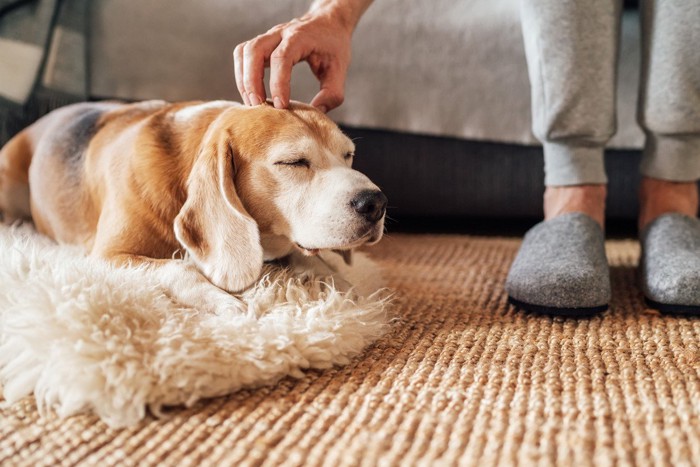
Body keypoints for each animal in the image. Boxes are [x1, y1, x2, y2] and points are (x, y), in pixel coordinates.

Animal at [0, 99, 388, 308]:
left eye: (348, 156)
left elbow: (314, 262)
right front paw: (223, 301)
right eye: (293, 162)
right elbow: (178, 268)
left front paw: (344, 287)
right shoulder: (108, 256)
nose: (376, 203)